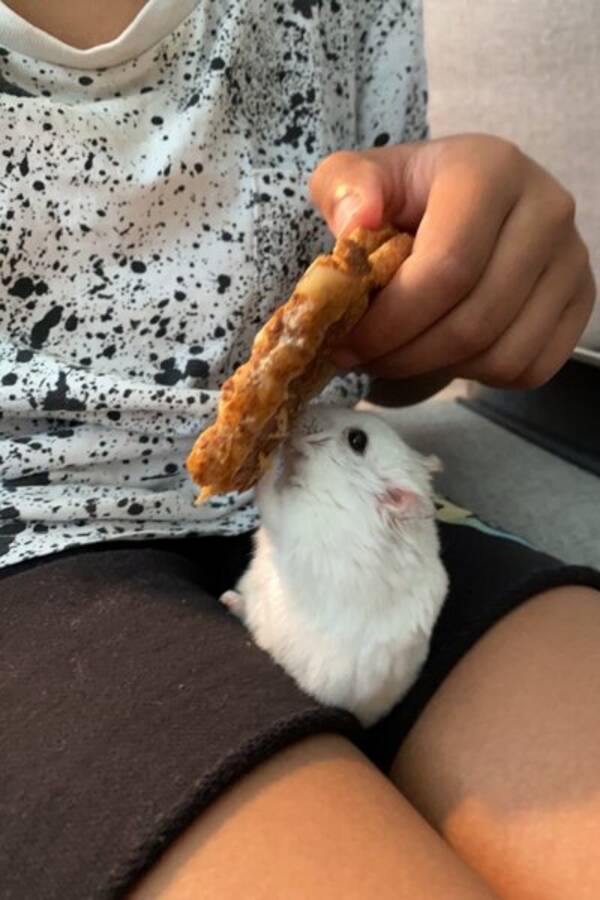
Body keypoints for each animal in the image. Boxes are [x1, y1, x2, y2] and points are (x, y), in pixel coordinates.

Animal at [220, 405, 448, 728]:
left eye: (357, 440)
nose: (301, 413)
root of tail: (365, 719)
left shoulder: (294, 520)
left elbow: (270, 489)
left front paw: (274, 449)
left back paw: (227, 599)